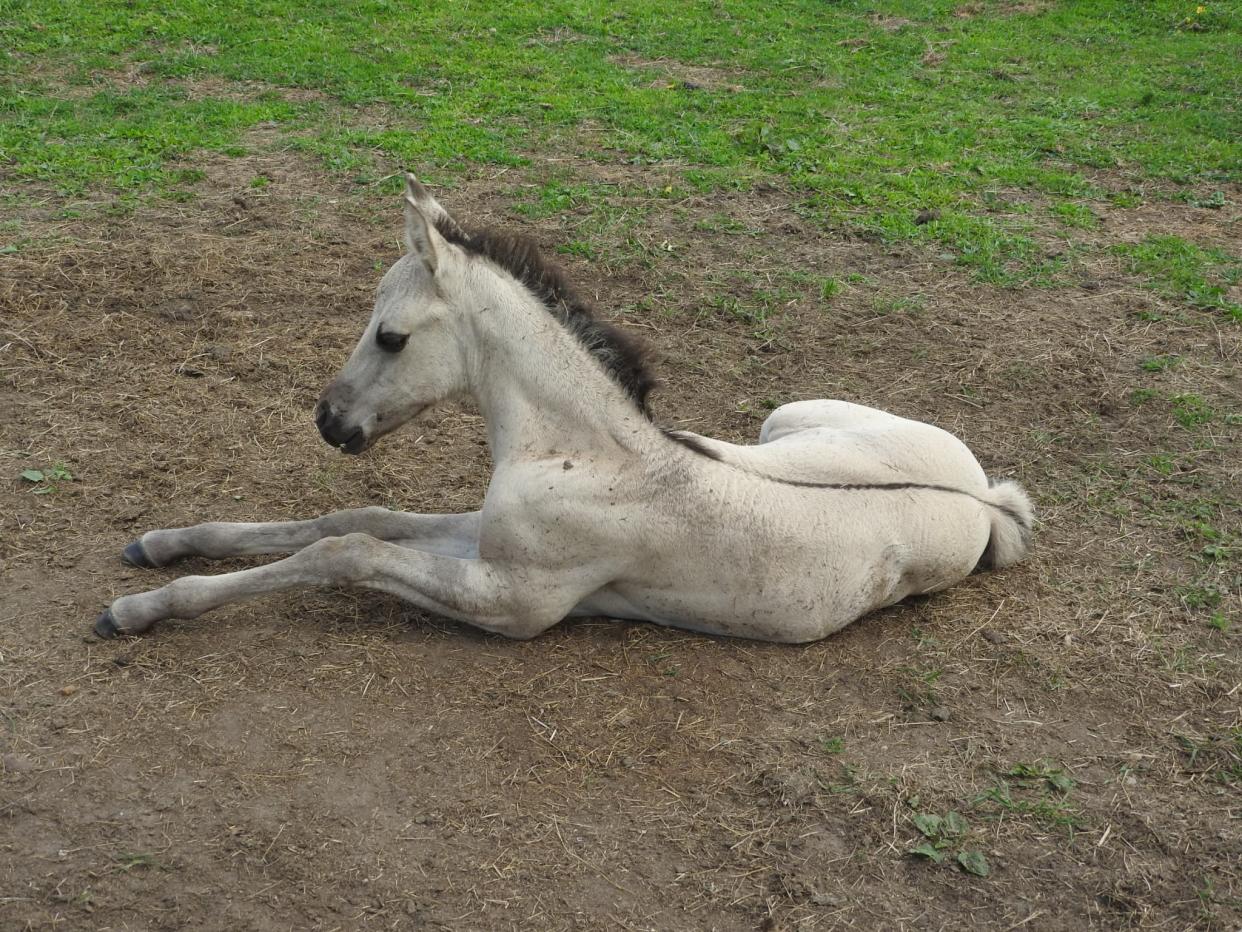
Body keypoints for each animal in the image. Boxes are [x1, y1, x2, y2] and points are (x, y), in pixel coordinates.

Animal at [91, 173, 1033, 641]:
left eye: (391, 336)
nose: (329, 421)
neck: (589, 453)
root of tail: (988, 499)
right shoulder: (482, 537)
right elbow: (357, 516)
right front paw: (160, 542)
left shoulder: (511, 600)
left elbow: (347, 549)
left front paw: (140, 610)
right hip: (782, 420)